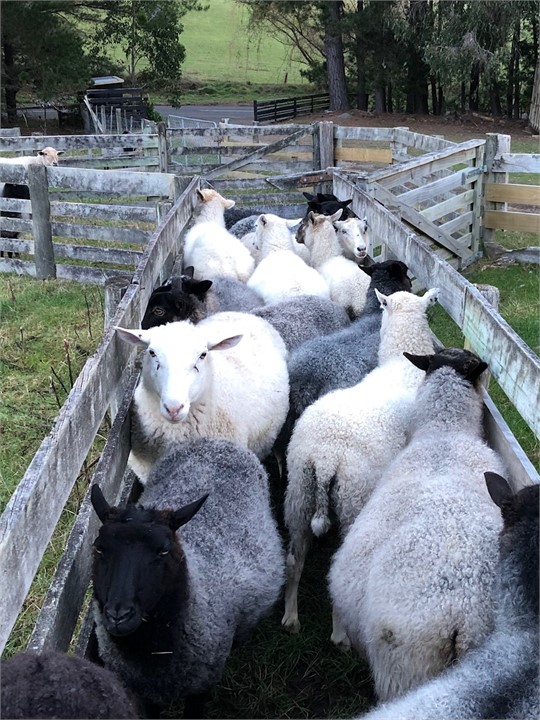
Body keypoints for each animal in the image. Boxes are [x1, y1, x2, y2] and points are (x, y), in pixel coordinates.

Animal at [91, 438, 285, 715]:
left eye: (163, 550)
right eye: (99, 548)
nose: (119, 615)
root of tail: (216, 441)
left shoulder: (201, 686)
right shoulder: (144, 695)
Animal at [282, 288, 439, 638]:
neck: (402, 363)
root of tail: (325, 456)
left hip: (299, 491)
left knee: (294, 558)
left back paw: (290, 617)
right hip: (352, 498)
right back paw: (340, 635)